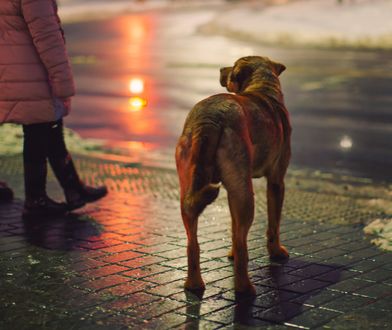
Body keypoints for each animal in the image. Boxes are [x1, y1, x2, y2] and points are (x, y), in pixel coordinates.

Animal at [175, 55, 290, 296]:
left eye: (233, 67)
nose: (220, 68)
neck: (262, 87)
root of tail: (209, 119)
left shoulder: (231, 190)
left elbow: (233, 225)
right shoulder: (277, 181)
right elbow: (273, 223)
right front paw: (276, 251)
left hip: (192, 189)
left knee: (193, 243)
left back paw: (194, 284)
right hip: (246, 194)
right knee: (242, 243)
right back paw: (244, 288)